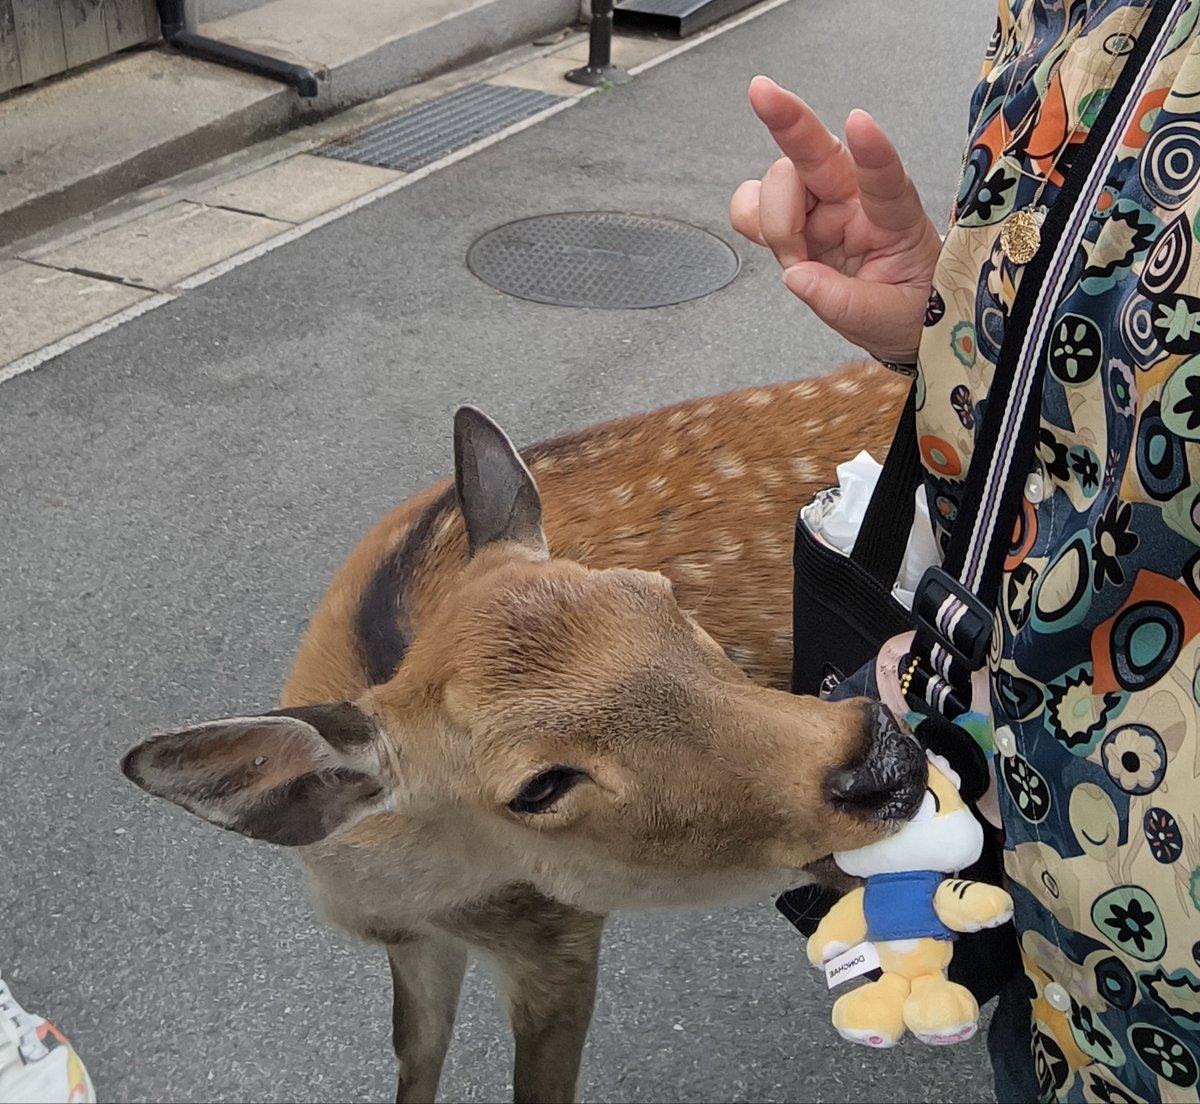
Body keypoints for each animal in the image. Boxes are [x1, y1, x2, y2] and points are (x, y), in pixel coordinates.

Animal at [121, 360, 919, 1104]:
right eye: (538, 786)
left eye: (662, 600)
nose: (883, 761)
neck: (396, 893)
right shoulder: (422, 945)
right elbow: (412, 1055)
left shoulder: (557, 935)